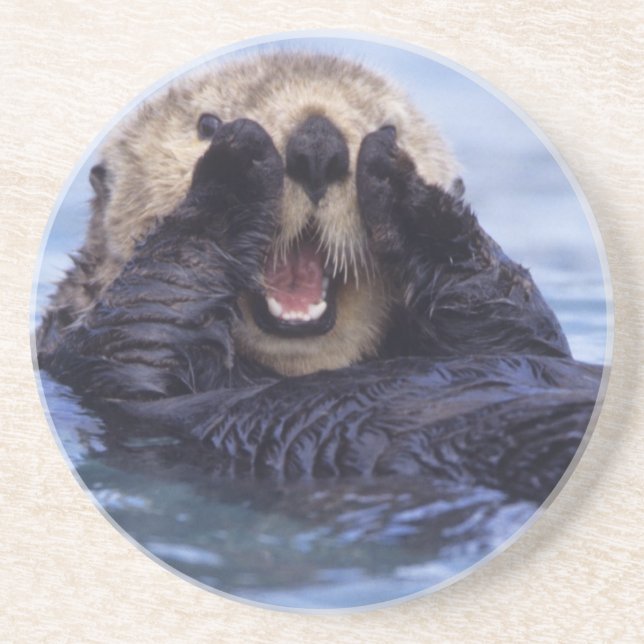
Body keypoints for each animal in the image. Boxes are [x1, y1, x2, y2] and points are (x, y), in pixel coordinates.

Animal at [37, 52, 601, 502]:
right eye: (205, 122)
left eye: (389, 125)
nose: (316, 143)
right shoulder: (101, 362)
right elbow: (145, 319)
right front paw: (237, 162)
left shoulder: (518, 336)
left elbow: (517, 319)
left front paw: (404, 186)